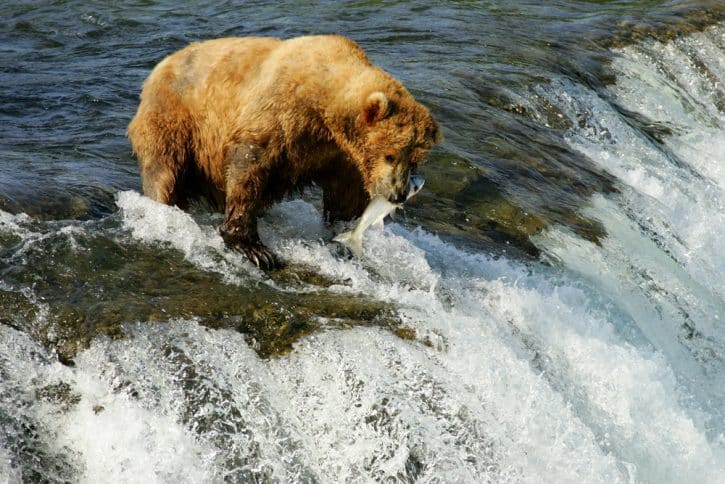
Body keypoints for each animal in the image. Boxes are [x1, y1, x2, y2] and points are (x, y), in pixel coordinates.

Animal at [127, 35, 438, 268]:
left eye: (415, 160)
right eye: (390, 154)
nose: (397, 194)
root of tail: (160, 66)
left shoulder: (338, 156)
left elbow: (344, 196)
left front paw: (342, 235)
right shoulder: (281, 115)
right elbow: (249, 166)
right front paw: (254, 249)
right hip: (176, 119)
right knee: (165, 171)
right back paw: (163, 210)